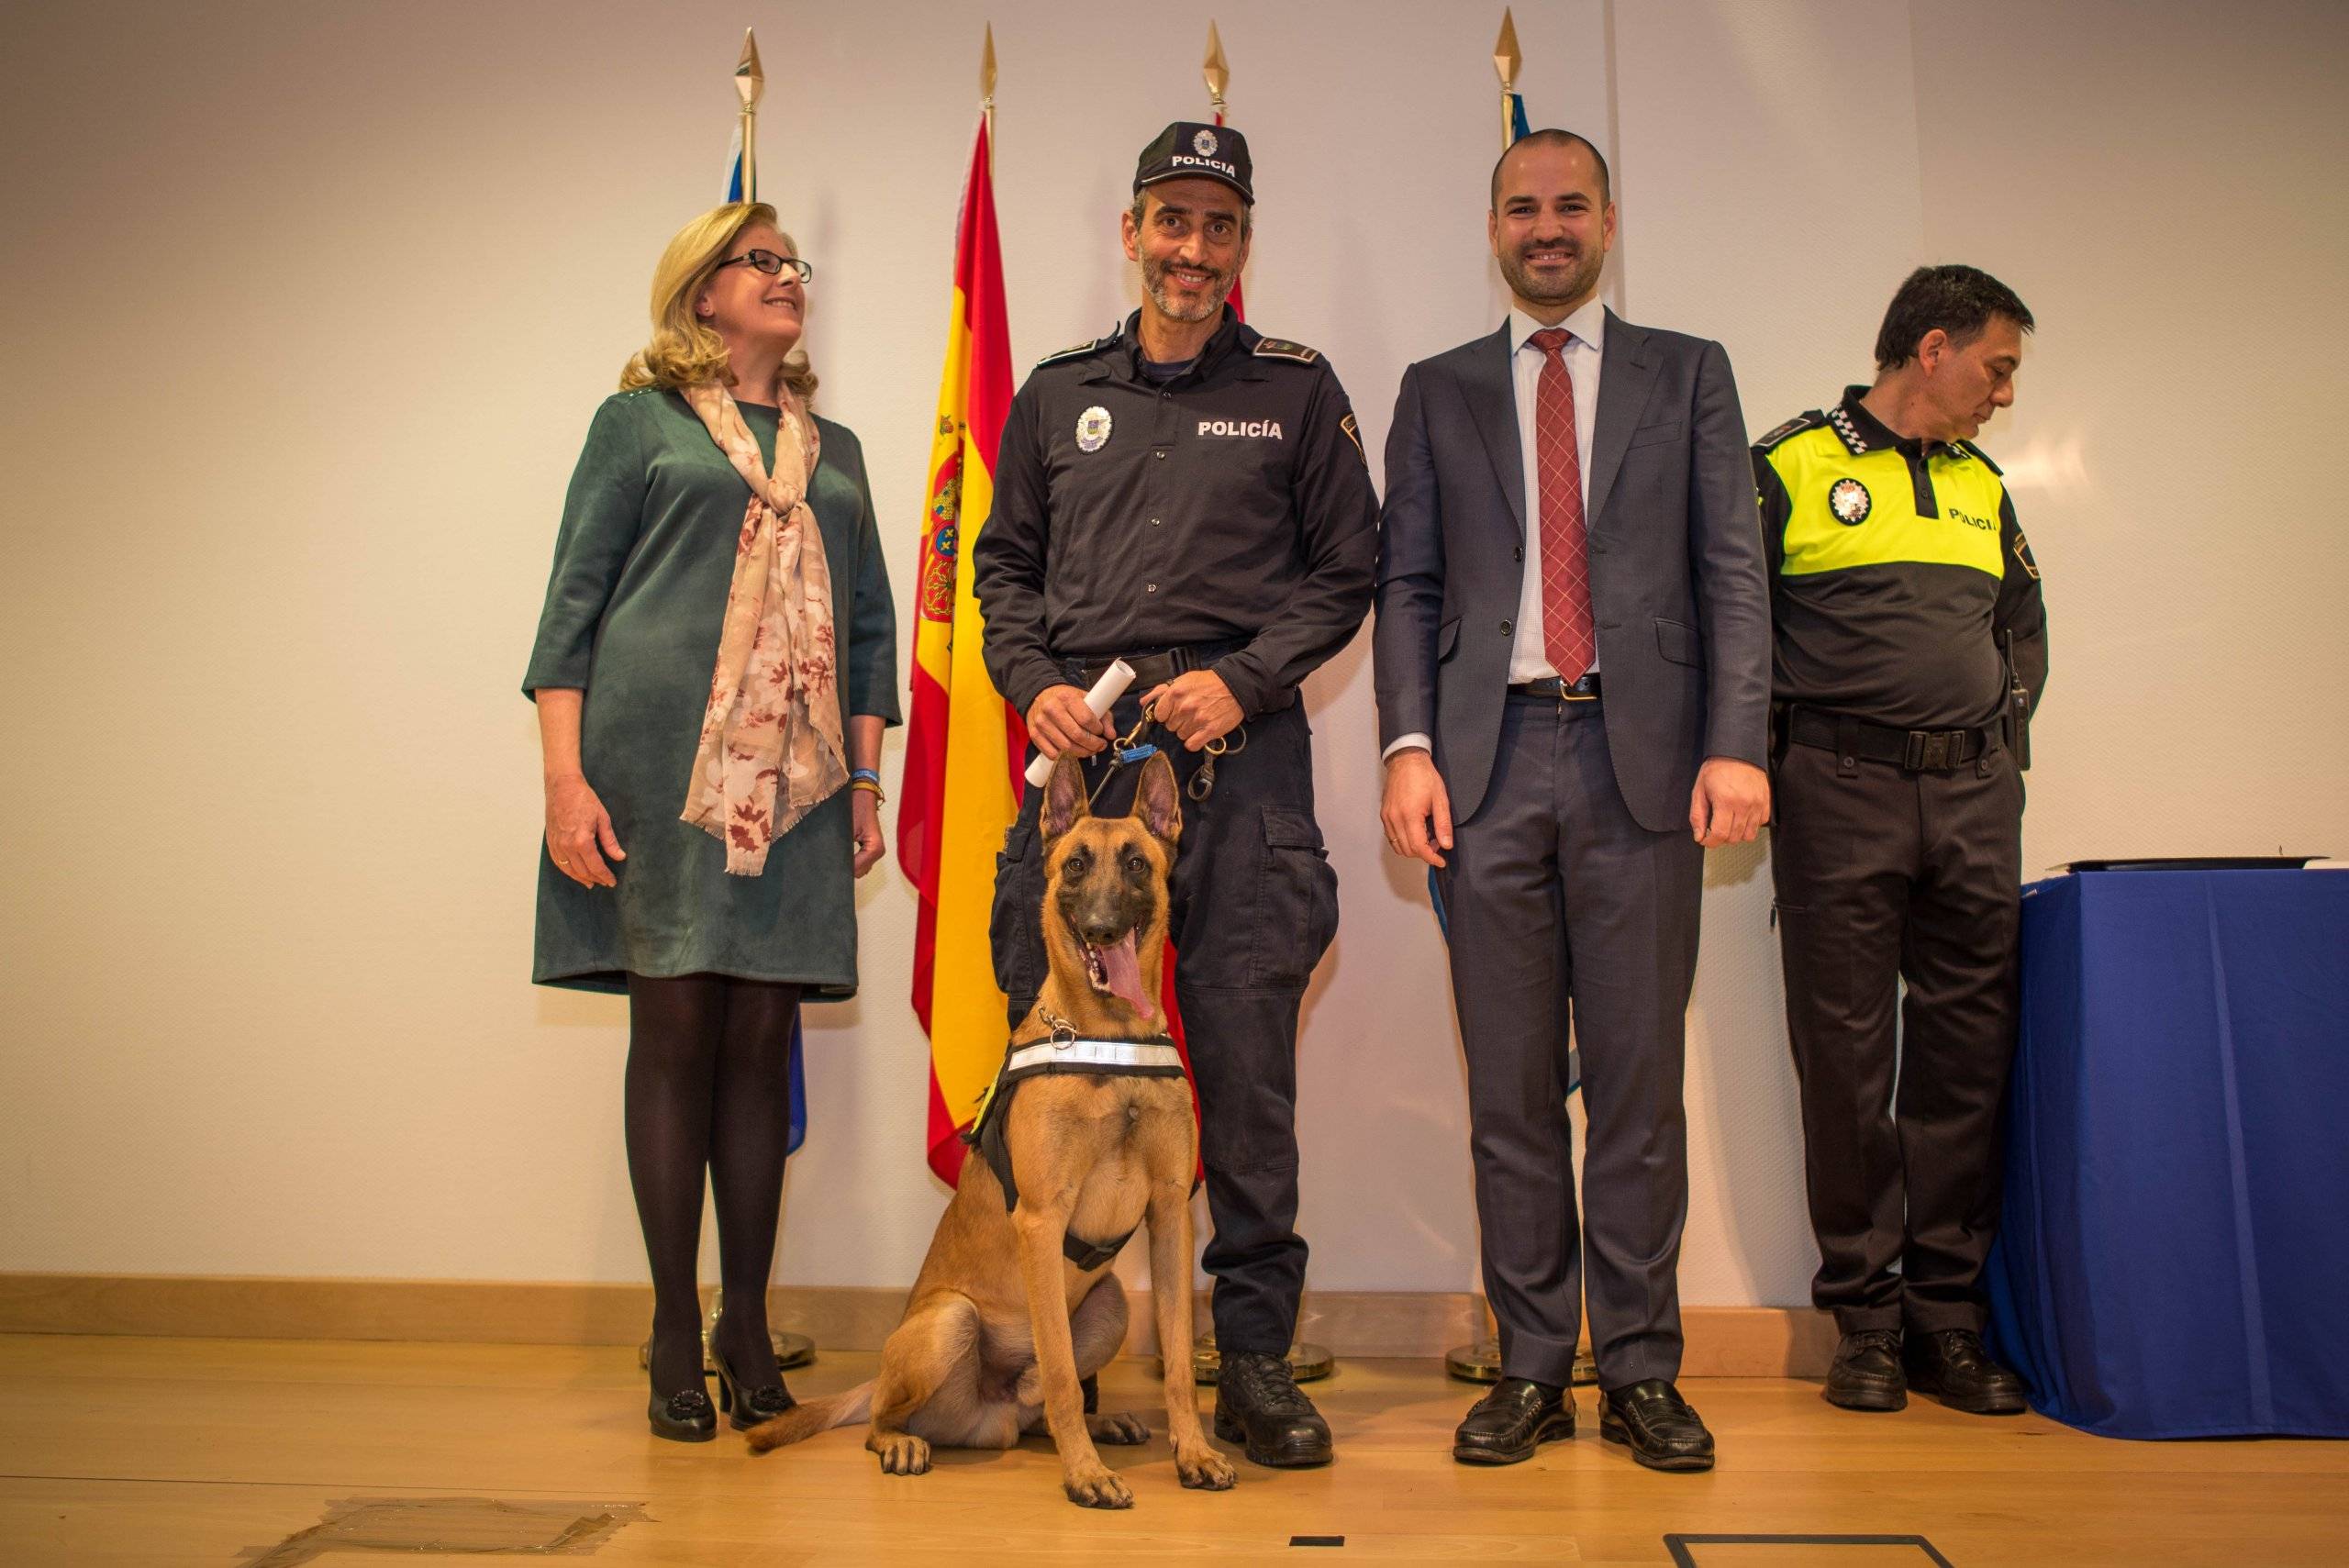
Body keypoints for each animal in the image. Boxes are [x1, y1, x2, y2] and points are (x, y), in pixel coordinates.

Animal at [751, 751, 1240, 1511]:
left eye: (1136, 863)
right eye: (1075, 865)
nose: (1103, 928)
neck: (1108, 1040)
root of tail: (991, 1411)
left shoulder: (1169, 1217)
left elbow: (1181, 1365)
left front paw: (1191, 1452)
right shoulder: (1042, 1220)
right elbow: (1065, 1375)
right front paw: (1084, 1474)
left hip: (1109, 1306)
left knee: (1036, 1398)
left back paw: (1094, 1421)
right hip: (950, 1321)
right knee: (891, 1416)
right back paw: (904, 1442)